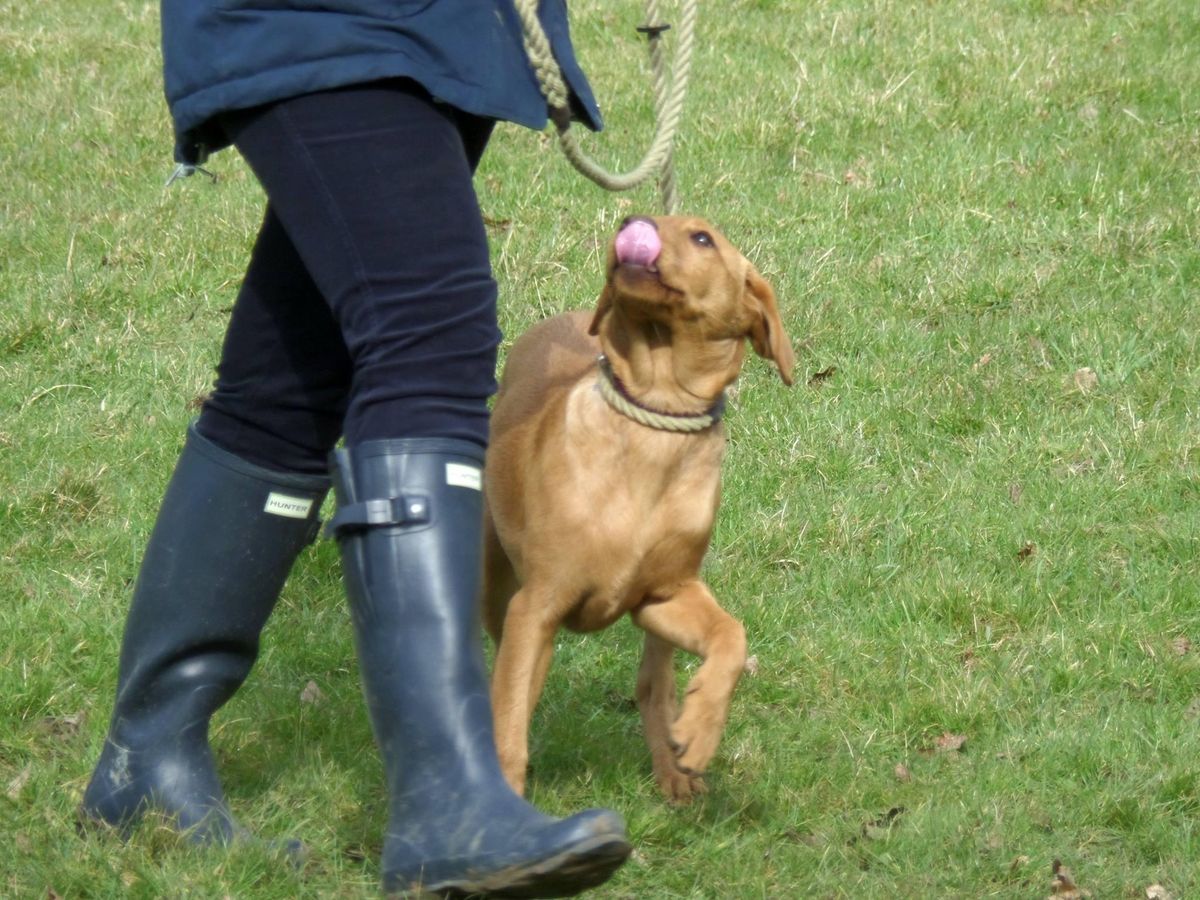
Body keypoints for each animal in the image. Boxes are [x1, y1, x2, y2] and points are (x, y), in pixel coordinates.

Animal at [482, 217, 792, 801]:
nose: (630, 225)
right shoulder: (535, 605)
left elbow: (731, 635)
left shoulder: (664, 593)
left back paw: (674, 767)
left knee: (653, 685)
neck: (656, 417)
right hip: (496, 589)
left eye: (702, 239)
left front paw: (699, 730)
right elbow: (509, 721)